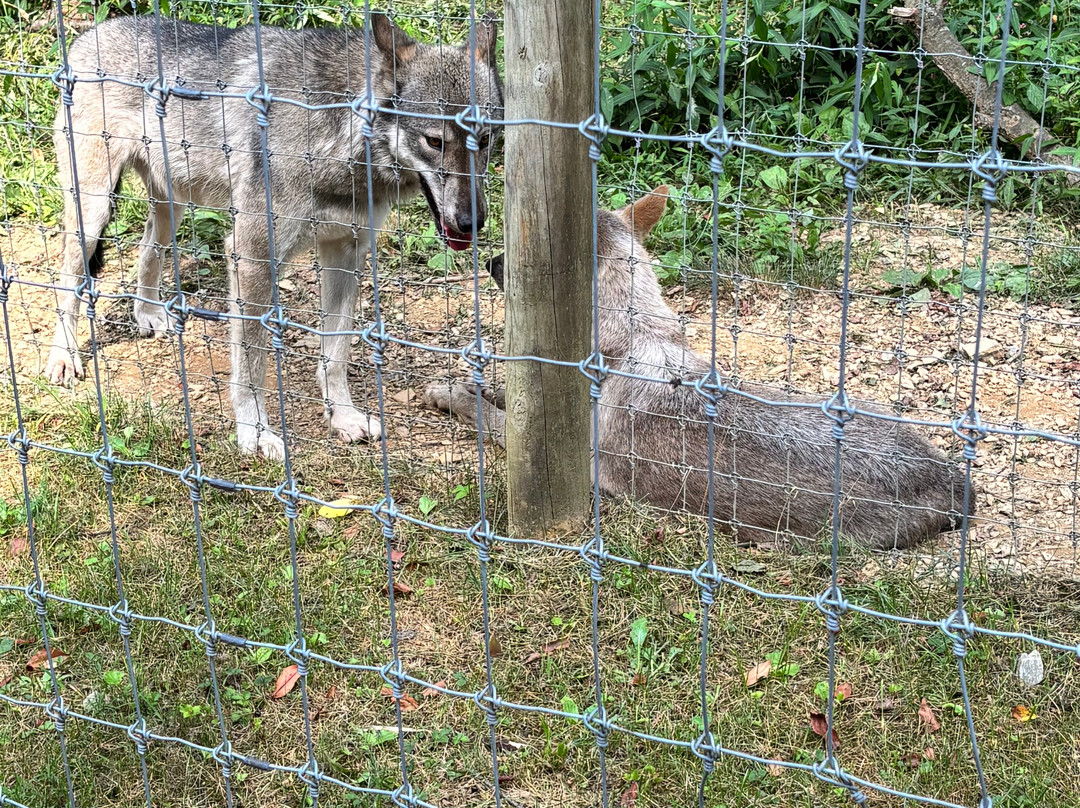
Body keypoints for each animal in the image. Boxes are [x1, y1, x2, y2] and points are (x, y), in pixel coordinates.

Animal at [46, 12, 502, 459]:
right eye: (434, 141)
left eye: (484, 139)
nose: (472, 223)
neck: (337, 132)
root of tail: (90, 34)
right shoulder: (251, 258)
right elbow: (252, 365)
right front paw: (255, 434)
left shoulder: (347, 253)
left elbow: (335, 354)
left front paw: (344, 417)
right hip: (93, 209)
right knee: (68, 280)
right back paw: (63, 358)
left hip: (170, 208)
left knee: (146, 249)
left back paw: (148, 314)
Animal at [426, 187, 975, 550]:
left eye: (520, 258)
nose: (491, 260)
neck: (628, 340)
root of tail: (955, 482)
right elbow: (503, 392)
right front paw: (464, 383)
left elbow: (485, 412)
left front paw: (449, 394)